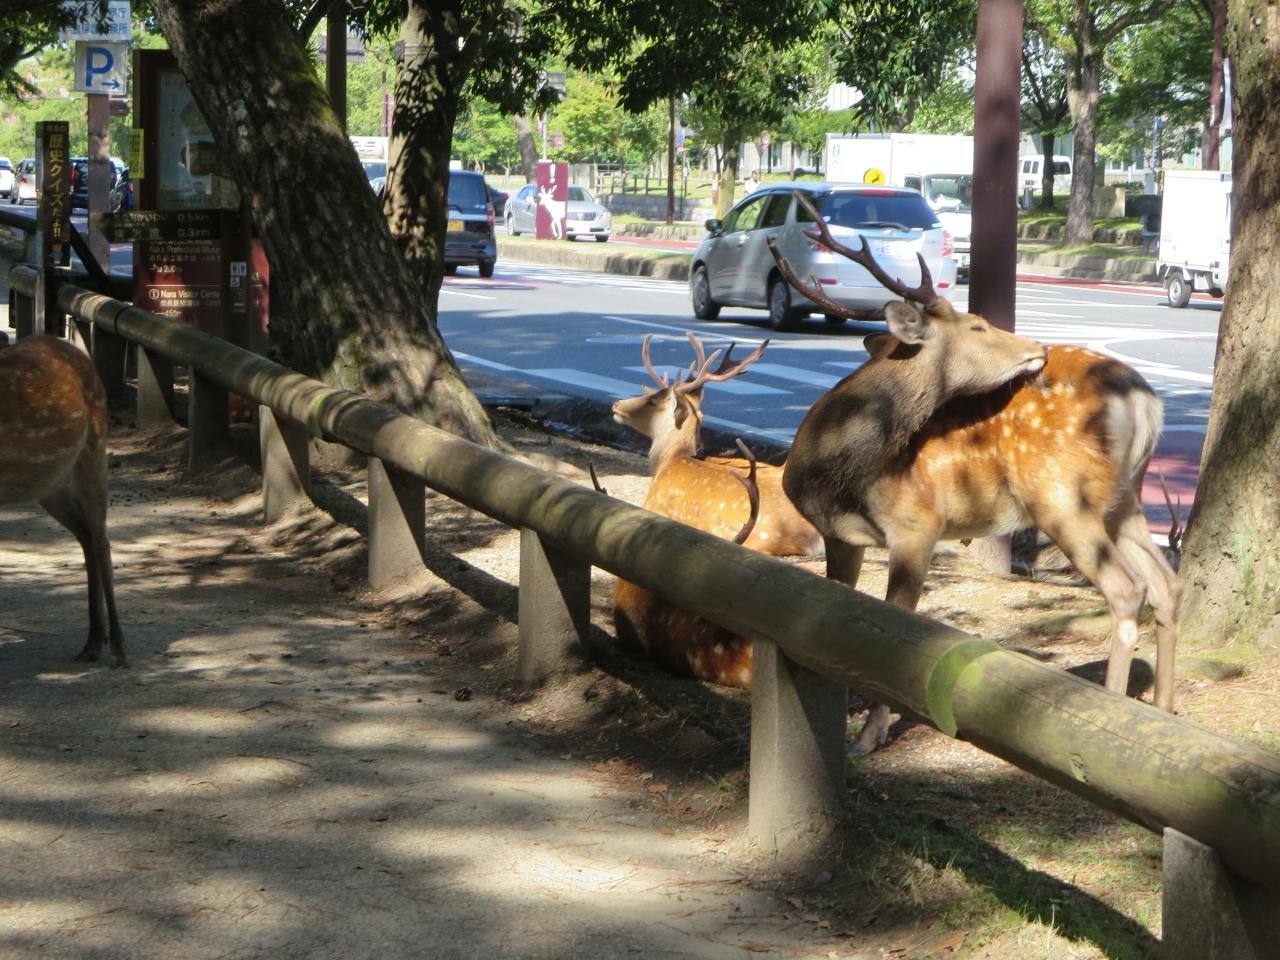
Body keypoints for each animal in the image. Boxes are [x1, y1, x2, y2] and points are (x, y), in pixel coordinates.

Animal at [0, 335, 126, 667]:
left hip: (94, 451)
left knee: (100, 539)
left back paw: (118, 647)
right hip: (50, 486)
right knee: (85, 536)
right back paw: (92, 643)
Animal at [770, 193, 1181, 755]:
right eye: (978, 326)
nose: (1038, 349)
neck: (837, 467)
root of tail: (1144, 399)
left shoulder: (917, 525)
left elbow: (897, 624)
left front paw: (870, 737)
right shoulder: (842, 535)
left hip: (1061, 495)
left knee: (1125, 590)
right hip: (1123, 496)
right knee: (1165, 584)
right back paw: (1162, 709)